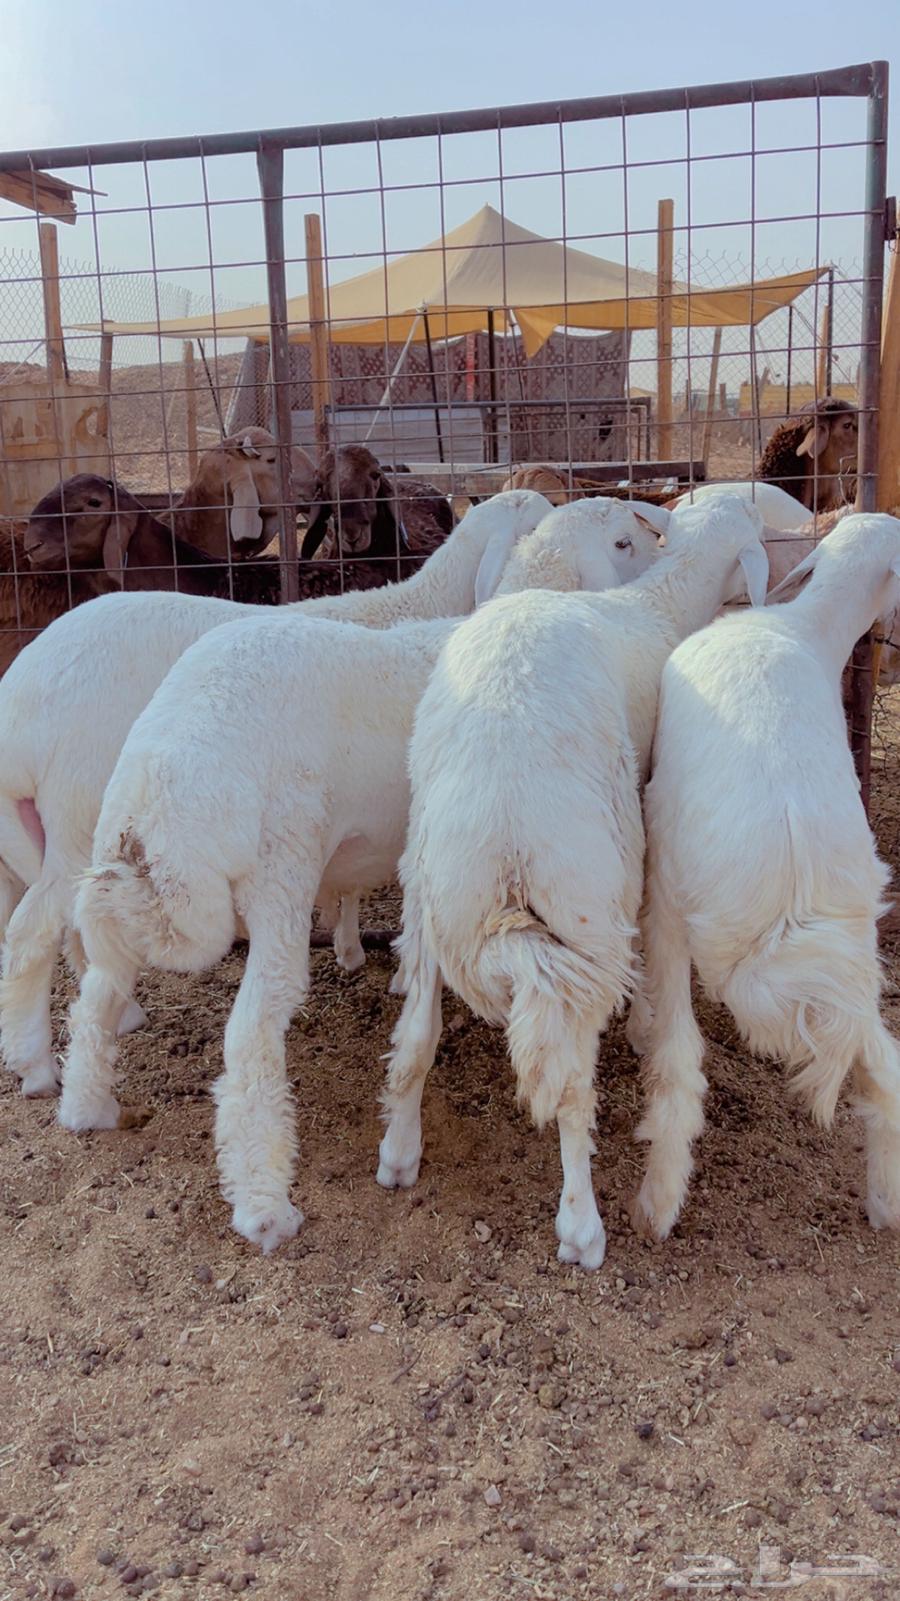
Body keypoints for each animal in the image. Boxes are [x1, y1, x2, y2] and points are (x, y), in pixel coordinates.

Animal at [54, 498, 667, 1251]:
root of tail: (162, 795)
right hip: (277, 870)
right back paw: (264, 1203)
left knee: (95, 997)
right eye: (623, 542)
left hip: (109, 878)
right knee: (252, 1034)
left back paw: (87, 1107)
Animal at [376, 496, 768, 1271]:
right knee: (570, 1086)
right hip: (585, 917)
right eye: (621, 542)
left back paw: (400, 1151)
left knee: (415, 1035)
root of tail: (508, 814)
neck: (654, 604)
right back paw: (581, 1225)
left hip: (433, 897)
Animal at [629, 513, 900, 1244]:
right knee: (886, 1072)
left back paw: (657, 1204)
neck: (805, 624)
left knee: (680, 1067)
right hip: (854, 962)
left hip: (672, 895)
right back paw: (886, 1203)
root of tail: (786, 913)